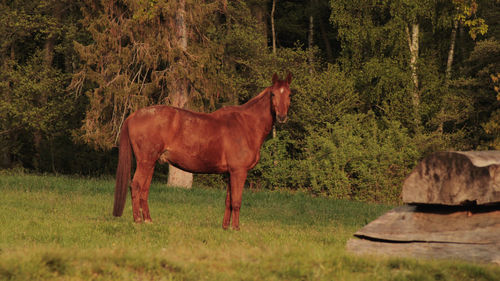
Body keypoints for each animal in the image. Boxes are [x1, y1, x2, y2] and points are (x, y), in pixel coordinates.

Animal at [112, 72, 292, 230]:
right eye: (273, 94)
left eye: (289, 94)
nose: (282, 117)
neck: (246, 124)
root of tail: (134, 115)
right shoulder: (239, 172)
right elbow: (236, 201)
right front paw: (236, 228)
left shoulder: (230, 173)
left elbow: (228, 201)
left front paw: (225, 227)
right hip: (145, 162)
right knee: (136, 186)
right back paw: (137, 220)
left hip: (151, 162)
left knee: (144, 189)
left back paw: (148, 220)